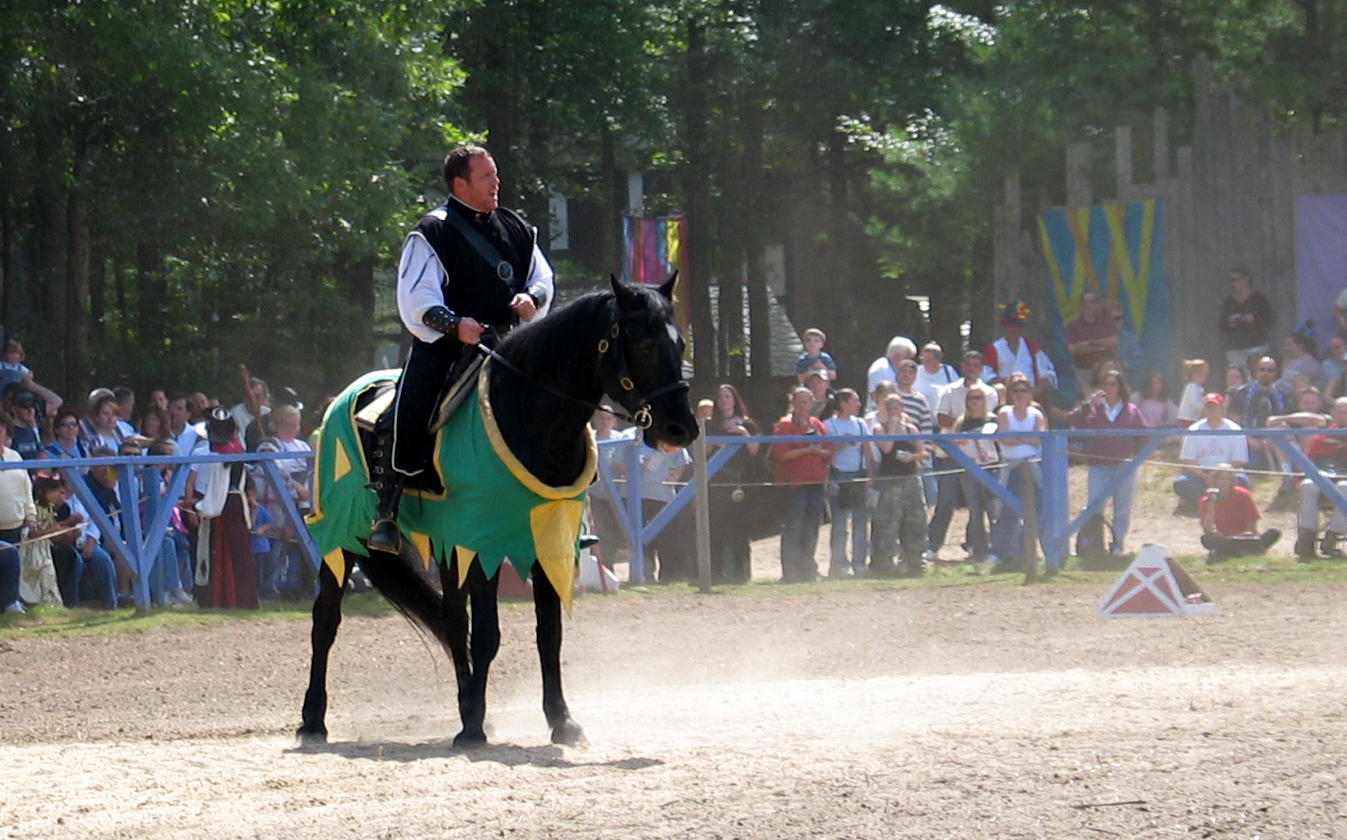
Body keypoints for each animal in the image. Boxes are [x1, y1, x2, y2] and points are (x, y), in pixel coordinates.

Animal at [297, 275, 697, 747]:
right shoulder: (481, 544)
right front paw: (473, 726)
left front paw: (559, 720)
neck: (531, 415)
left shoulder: (545, 542)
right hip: (341, 536)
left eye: (680, 344)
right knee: (326, 620)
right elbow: (488, 635)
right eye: (645, 345)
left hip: (443, 543)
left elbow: (549, 634)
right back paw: (313, 720)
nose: (681, 428)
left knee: (453, 621)